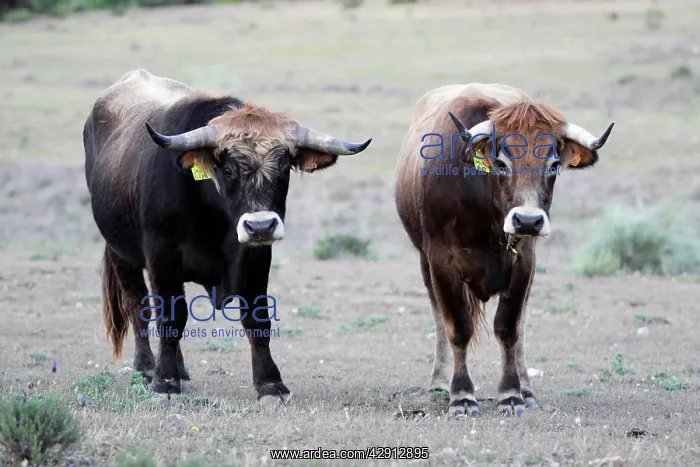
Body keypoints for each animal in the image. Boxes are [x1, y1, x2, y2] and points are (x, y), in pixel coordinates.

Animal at [83, 69, 372, 403]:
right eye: (229, 170)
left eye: (285, 168)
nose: (260, 226)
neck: (213, 216)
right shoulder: (161, 257)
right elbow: (170, 316)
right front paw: (164, 382)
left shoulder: (257, 258)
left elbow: (257, 319)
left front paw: (270, 383)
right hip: (121, 254)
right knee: (136, 304)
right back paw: (147, 367)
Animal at [394, 83, 613, 417]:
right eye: (501, 163)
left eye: (553, 165)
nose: (528, 221)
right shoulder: (440, 260)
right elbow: (457, 327)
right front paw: (462, 396)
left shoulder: (524, 263)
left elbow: (509, 327)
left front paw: (511, 394)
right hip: (425, 263)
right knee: (439, 317)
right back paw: (438, 383)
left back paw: (526, 388)